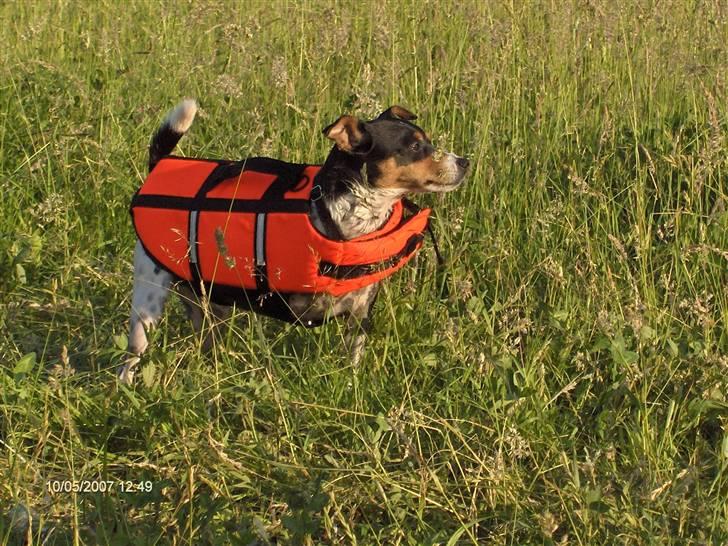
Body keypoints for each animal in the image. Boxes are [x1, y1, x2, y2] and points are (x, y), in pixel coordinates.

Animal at [116, 101, 470, 382]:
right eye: (414, 147)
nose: (464, 161)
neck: (353, 220)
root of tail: (158, 166)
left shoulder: (360, 313)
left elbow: (352, 361)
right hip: (148, 303)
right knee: (132, 356)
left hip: (208, 304)